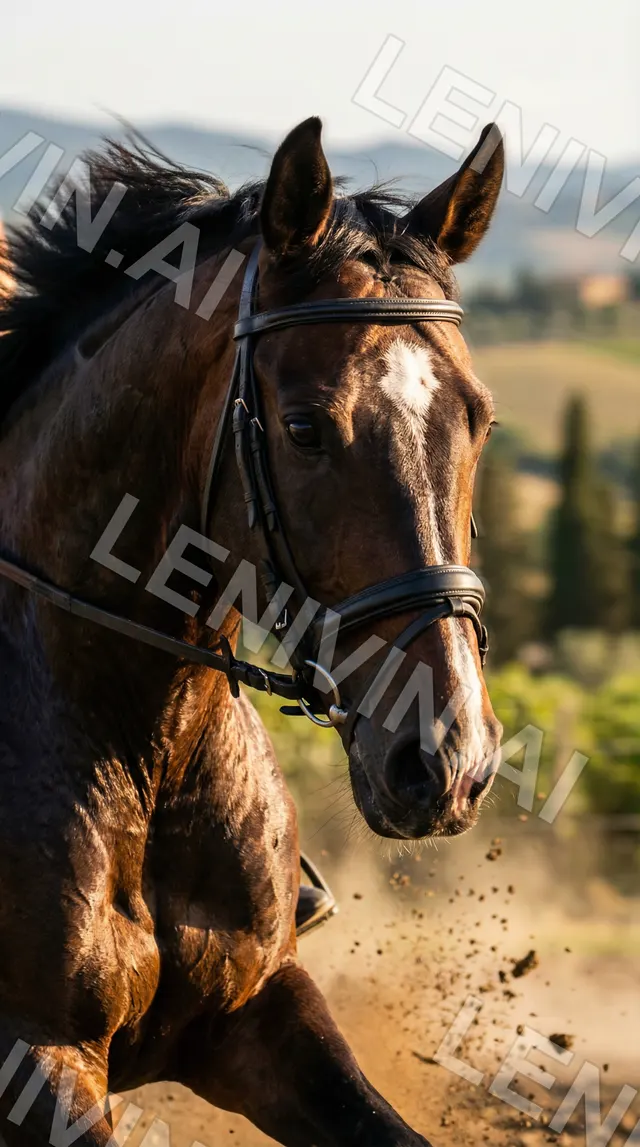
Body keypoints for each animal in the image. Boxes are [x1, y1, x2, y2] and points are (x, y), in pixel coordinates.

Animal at [0, 116, 504, 1146]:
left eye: (477, 419)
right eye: (306, 426)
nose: (448, 760)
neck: (143, 742)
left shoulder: (261, 1010)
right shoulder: (36, 1056)